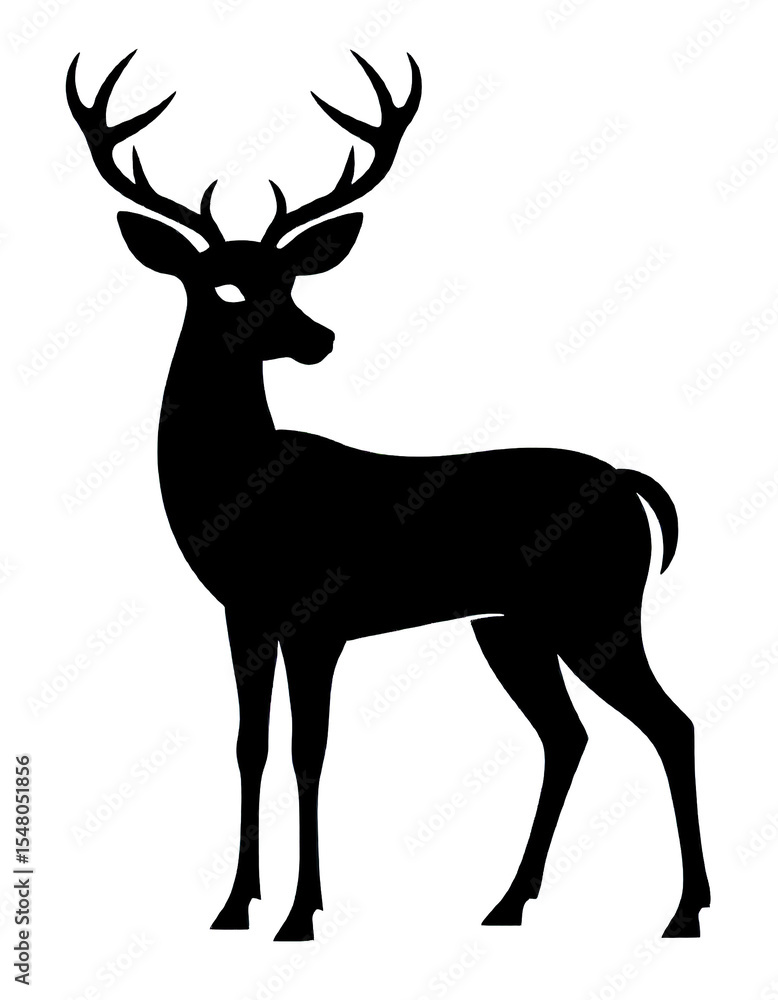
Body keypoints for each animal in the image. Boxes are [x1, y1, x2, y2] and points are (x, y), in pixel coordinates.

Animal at [66, 49, 710, 941]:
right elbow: (249, 746)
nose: (319, 338)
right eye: (225, 287)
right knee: (569, 736)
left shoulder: (319, 616)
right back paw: (508, 903)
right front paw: (234, 907)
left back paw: (683, 912)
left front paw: (301, 914)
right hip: (510, 626)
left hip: (596, 607)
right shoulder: (243, 616)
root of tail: (632, 486)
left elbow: (309, 753)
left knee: (671, 723)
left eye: (292, 277)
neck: (240, 491)